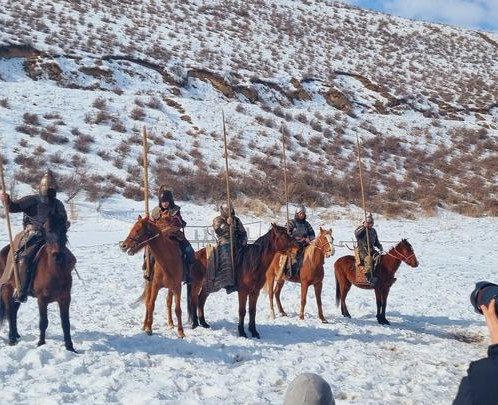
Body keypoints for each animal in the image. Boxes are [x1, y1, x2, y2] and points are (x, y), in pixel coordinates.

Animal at [0, 211, 77, 350]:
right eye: (49, 230)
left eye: (64, 230)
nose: (58, 254)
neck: (54, 271)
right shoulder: (42, 299)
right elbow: (43, 322)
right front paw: (41, 343)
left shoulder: (65, 298)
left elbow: (66, 323)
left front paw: (70, 347)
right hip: (7, 288)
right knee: (9, 311)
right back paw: (12, 339)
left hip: (19, 292)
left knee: (14, 310)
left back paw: (17, 335)